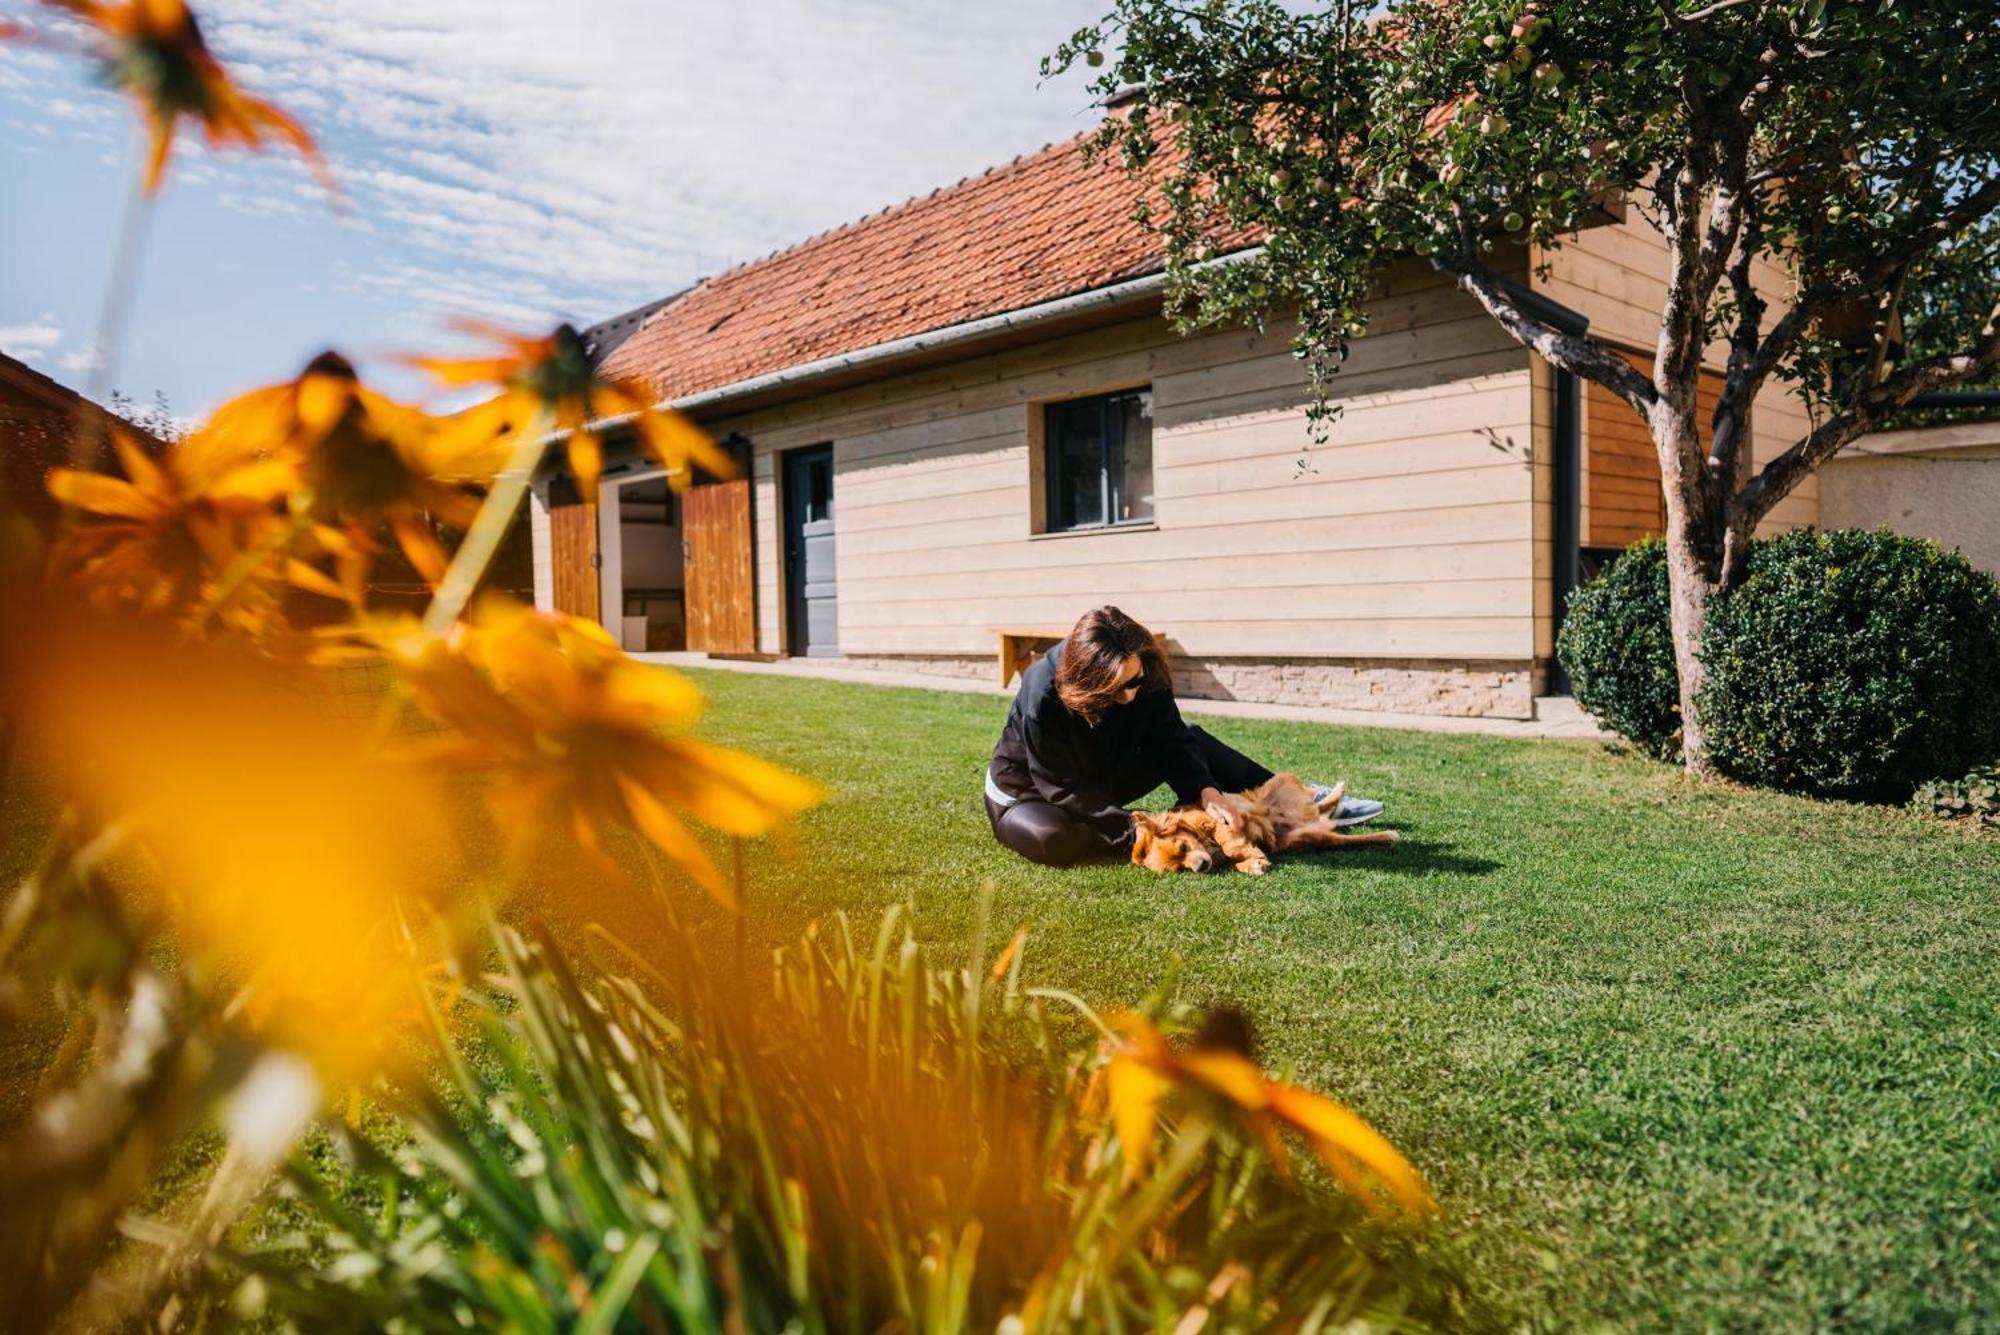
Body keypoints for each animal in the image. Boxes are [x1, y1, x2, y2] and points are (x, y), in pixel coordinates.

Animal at [1136, 771, 1400, 875]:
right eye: (1179, 869)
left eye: (1183, 847)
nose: (1201, 867)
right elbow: (1238, 862)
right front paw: (1253, 864)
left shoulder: (1220, 818)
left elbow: (1229, 841)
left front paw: (1243, 852)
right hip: (1307, 836)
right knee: (1339, 833)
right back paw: (1385, 836)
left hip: (1278, 783)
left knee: (1318, 803)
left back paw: (1337, 792)